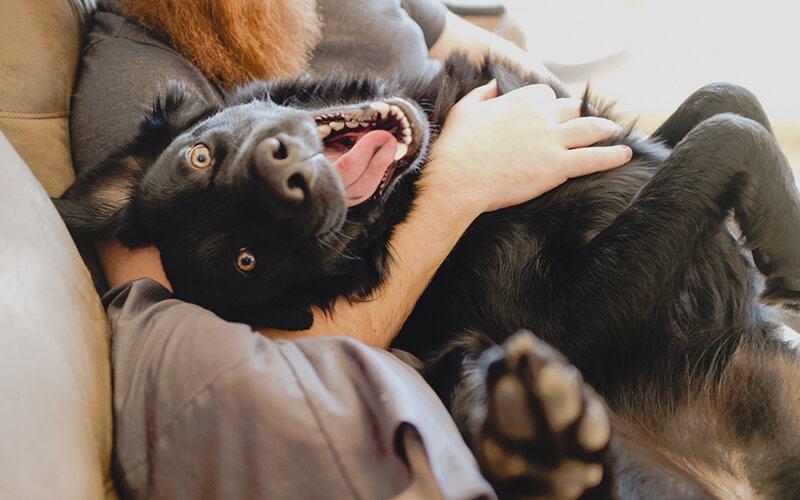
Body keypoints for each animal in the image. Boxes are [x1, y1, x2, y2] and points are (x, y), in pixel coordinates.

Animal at [56, 52, 800, 498]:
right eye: (248, 260)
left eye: (200, 157)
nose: (287, 179)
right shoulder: (566, 319)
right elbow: (723, 135)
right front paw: (784, 257)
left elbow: (722, 97)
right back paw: (542, 443)